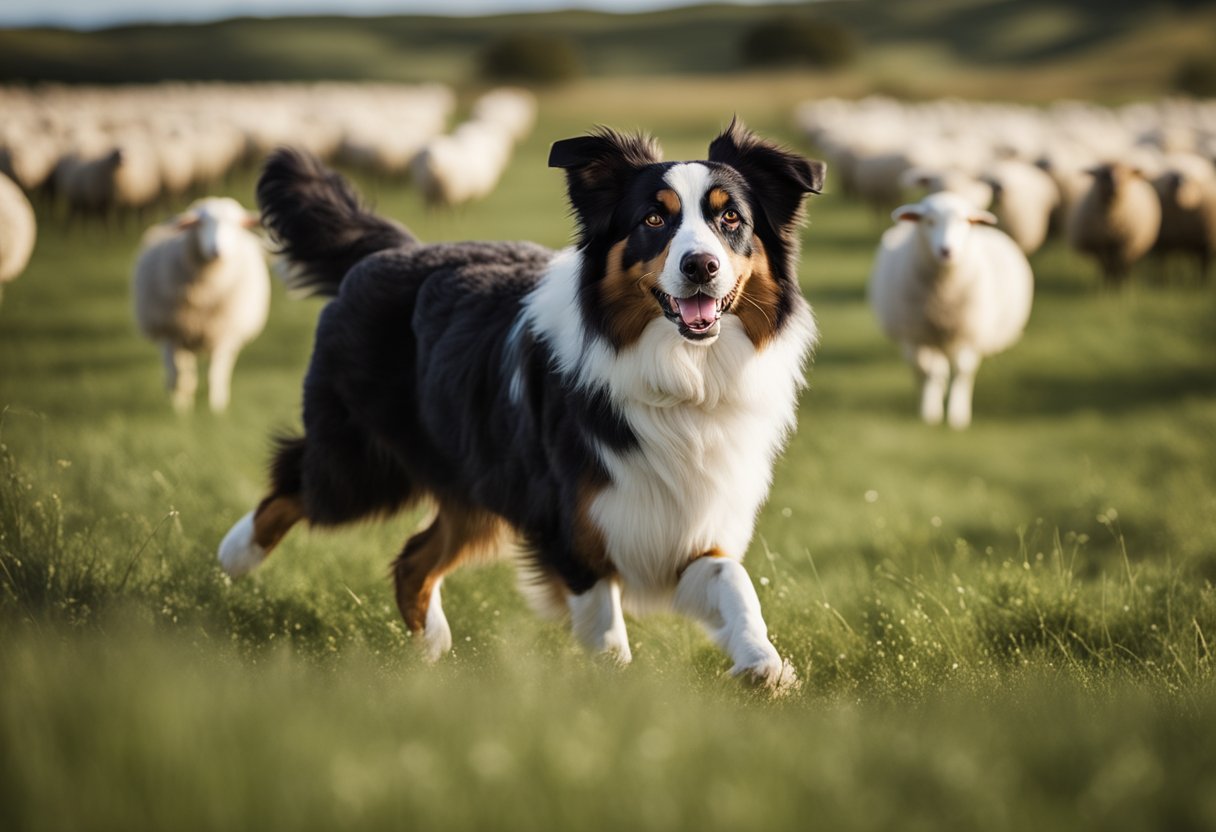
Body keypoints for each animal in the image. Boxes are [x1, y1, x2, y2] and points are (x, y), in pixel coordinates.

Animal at [131, 198, 267, 413]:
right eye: (200, 223)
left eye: (236, 224)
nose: (217, 250)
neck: (204, 294)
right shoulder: (172, 331)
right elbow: (178, 374)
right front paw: (180, 409)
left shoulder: (223, 333)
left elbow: (214, 375)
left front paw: (216, 410)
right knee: (178, 369)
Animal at [218, 118, 826, 690]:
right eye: (653, 220)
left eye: (732, 220)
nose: (701, 266)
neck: (681, 374)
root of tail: (392, 249)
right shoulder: (573, 528)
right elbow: (606, 631)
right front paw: (617, 688)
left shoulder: (685, 519)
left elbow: (733, 584)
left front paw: (763, 664)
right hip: (362, 466)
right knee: (293, 484)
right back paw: (233, 556)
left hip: (476, 488)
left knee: (413, 560)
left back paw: (433, 651)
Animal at [870, 192, 1031, 433]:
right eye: (929, 221)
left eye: (964, 221)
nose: (946, 251)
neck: (942, 300)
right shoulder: (917, 335)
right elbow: (927, 371)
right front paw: (930, 411)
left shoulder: (968, 334)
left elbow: (962, 373)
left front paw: (957, 415)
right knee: (926, 368)